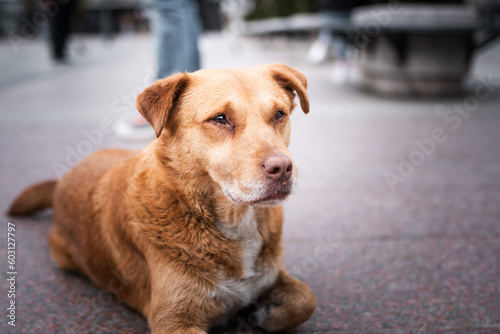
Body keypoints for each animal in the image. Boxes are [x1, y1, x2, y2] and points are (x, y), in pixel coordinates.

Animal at [8, 64, 316, 332]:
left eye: (279, 114)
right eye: (220, 118)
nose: (282, 168)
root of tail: (62, 181)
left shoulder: (271, 274)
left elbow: (307, 299)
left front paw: (267, 314)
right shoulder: (174, 319)